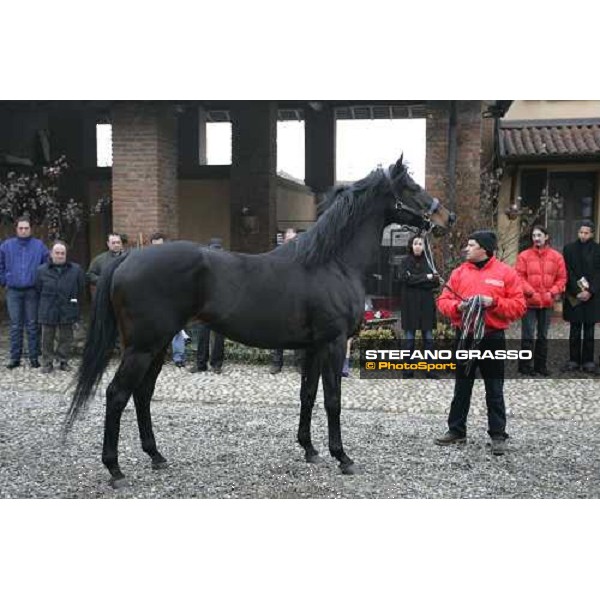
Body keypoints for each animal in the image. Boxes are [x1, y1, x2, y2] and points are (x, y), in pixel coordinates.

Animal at [65, 156, 452, 488]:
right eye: (412, 187)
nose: (446, 218)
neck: (332, 263)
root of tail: (127, 257)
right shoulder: (333, 342)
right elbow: (332, 399)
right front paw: (342, 457)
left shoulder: (313, 347)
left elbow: (308, 394)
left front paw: (309, 449)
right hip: (142, 347)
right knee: (117, 394)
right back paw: (115, 469)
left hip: (157, 346)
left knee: (142, 394)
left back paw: (156, 456)